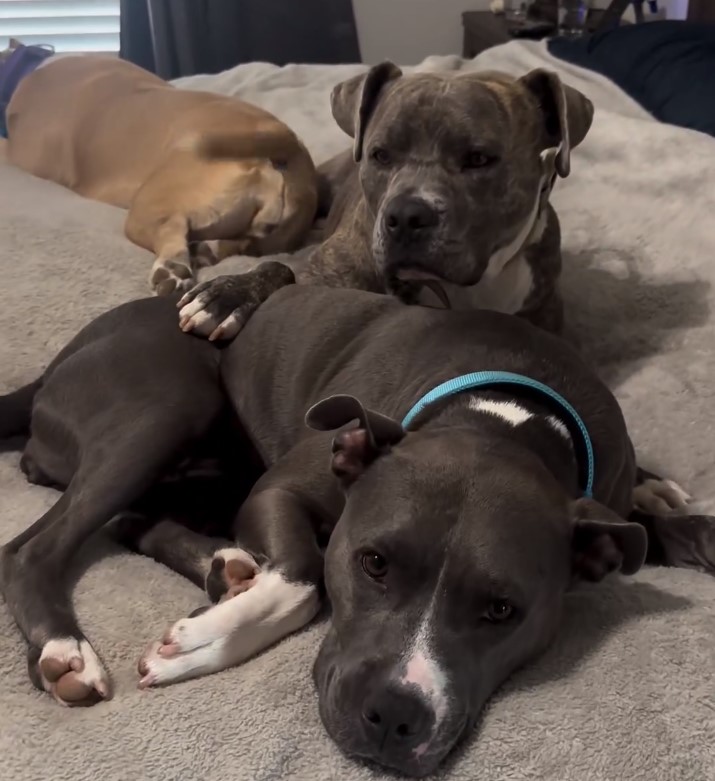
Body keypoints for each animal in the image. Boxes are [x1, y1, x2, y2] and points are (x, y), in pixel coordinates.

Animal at [2, 272, 712, 776]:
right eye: (372, 563)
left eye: (503, 609)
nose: (394, 715)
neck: (509, 413)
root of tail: (56, 363)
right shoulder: (279, 490)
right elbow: (306, 575)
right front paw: (205, 641)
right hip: (169, 400)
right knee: (33, 547)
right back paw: (67, 649)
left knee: (132, 520)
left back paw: (224, 565)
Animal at [5, 54, 318, 292]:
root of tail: (287, 143)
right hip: (264, 235)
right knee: (237, 243)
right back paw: (204, 250)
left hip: (148, 207)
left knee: (170, 229)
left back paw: (171, 270)